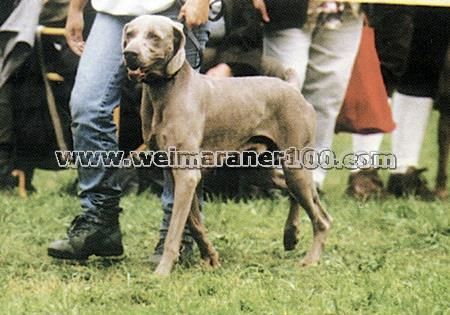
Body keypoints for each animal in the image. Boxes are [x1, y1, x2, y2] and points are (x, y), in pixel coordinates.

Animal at [121, 15, 332, 276]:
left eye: (154, 36)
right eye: (129, 34)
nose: (129, 54)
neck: (166, 90)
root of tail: (292, 87)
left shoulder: (187, 174)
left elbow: (175, 229)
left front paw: (162, 271)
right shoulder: (175, 173)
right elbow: (194, 222)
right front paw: (210, 256)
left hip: (295, 164)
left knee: (322, 219)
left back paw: (310, 259)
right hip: (258, 170)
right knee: (294, 193)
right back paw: (290, 235)